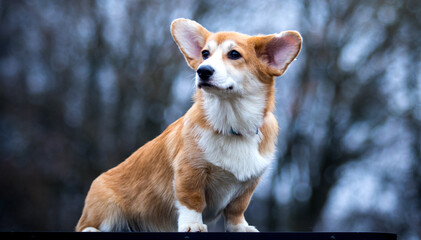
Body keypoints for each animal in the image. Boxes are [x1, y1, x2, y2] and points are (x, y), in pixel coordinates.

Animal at [76, 17, 302, 232]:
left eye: (234, 54)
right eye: (205, 54)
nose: (203, 71)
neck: (231, 124)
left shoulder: (248, 185)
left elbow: (237, 210)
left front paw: (240, 227)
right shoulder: (190, 171)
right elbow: (192, 202)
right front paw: (193, 225)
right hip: (105, 204)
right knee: (84, 225)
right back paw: (91, 229)